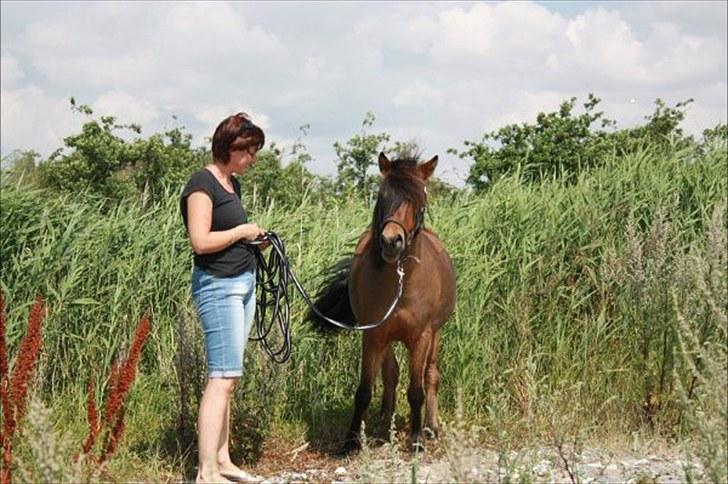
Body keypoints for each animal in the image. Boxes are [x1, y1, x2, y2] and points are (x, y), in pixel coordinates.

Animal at [312, 152, 456, 454]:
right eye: (382, 196)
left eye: (420, 201)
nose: (391, 241)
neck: (401, 283)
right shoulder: (373, 334)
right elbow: (365, 389)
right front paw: (351, 441)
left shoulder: (421, 336)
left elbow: (416, 390)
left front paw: (415, 439)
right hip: (386, 338)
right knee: (391, 374)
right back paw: (384, 421)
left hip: (435, 335)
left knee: (431, 375)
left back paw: (430, 427)